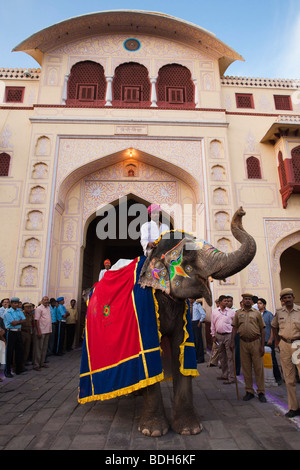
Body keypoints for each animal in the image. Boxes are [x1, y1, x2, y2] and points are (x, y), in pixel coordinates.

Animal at [78, 207, 255, 436]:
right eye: (188, 258)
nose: (241, 211)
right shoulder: (143, 312)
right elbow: (149, 352)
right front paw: (153, 431)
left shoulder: (181, 313)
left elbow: (182, 349)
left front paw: (190, 429)